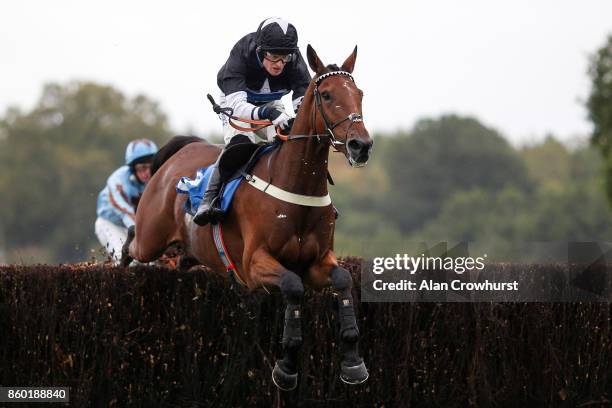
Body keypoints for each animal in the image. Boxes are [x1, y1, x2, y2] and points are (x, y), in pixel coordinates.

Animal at [121, 43, 372, 388]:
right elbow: (292, 286)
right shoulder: (254, 264)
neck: (294, 183)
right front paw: (286, 366)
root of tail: (182, 150)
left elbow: (344, 280)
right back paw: (120, 265)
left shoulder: (318, 261)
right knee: (132, 239)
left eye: (359, 93)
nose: (361, 145)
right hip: (151, 237)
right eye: (327, 95)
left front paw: (352, 362)